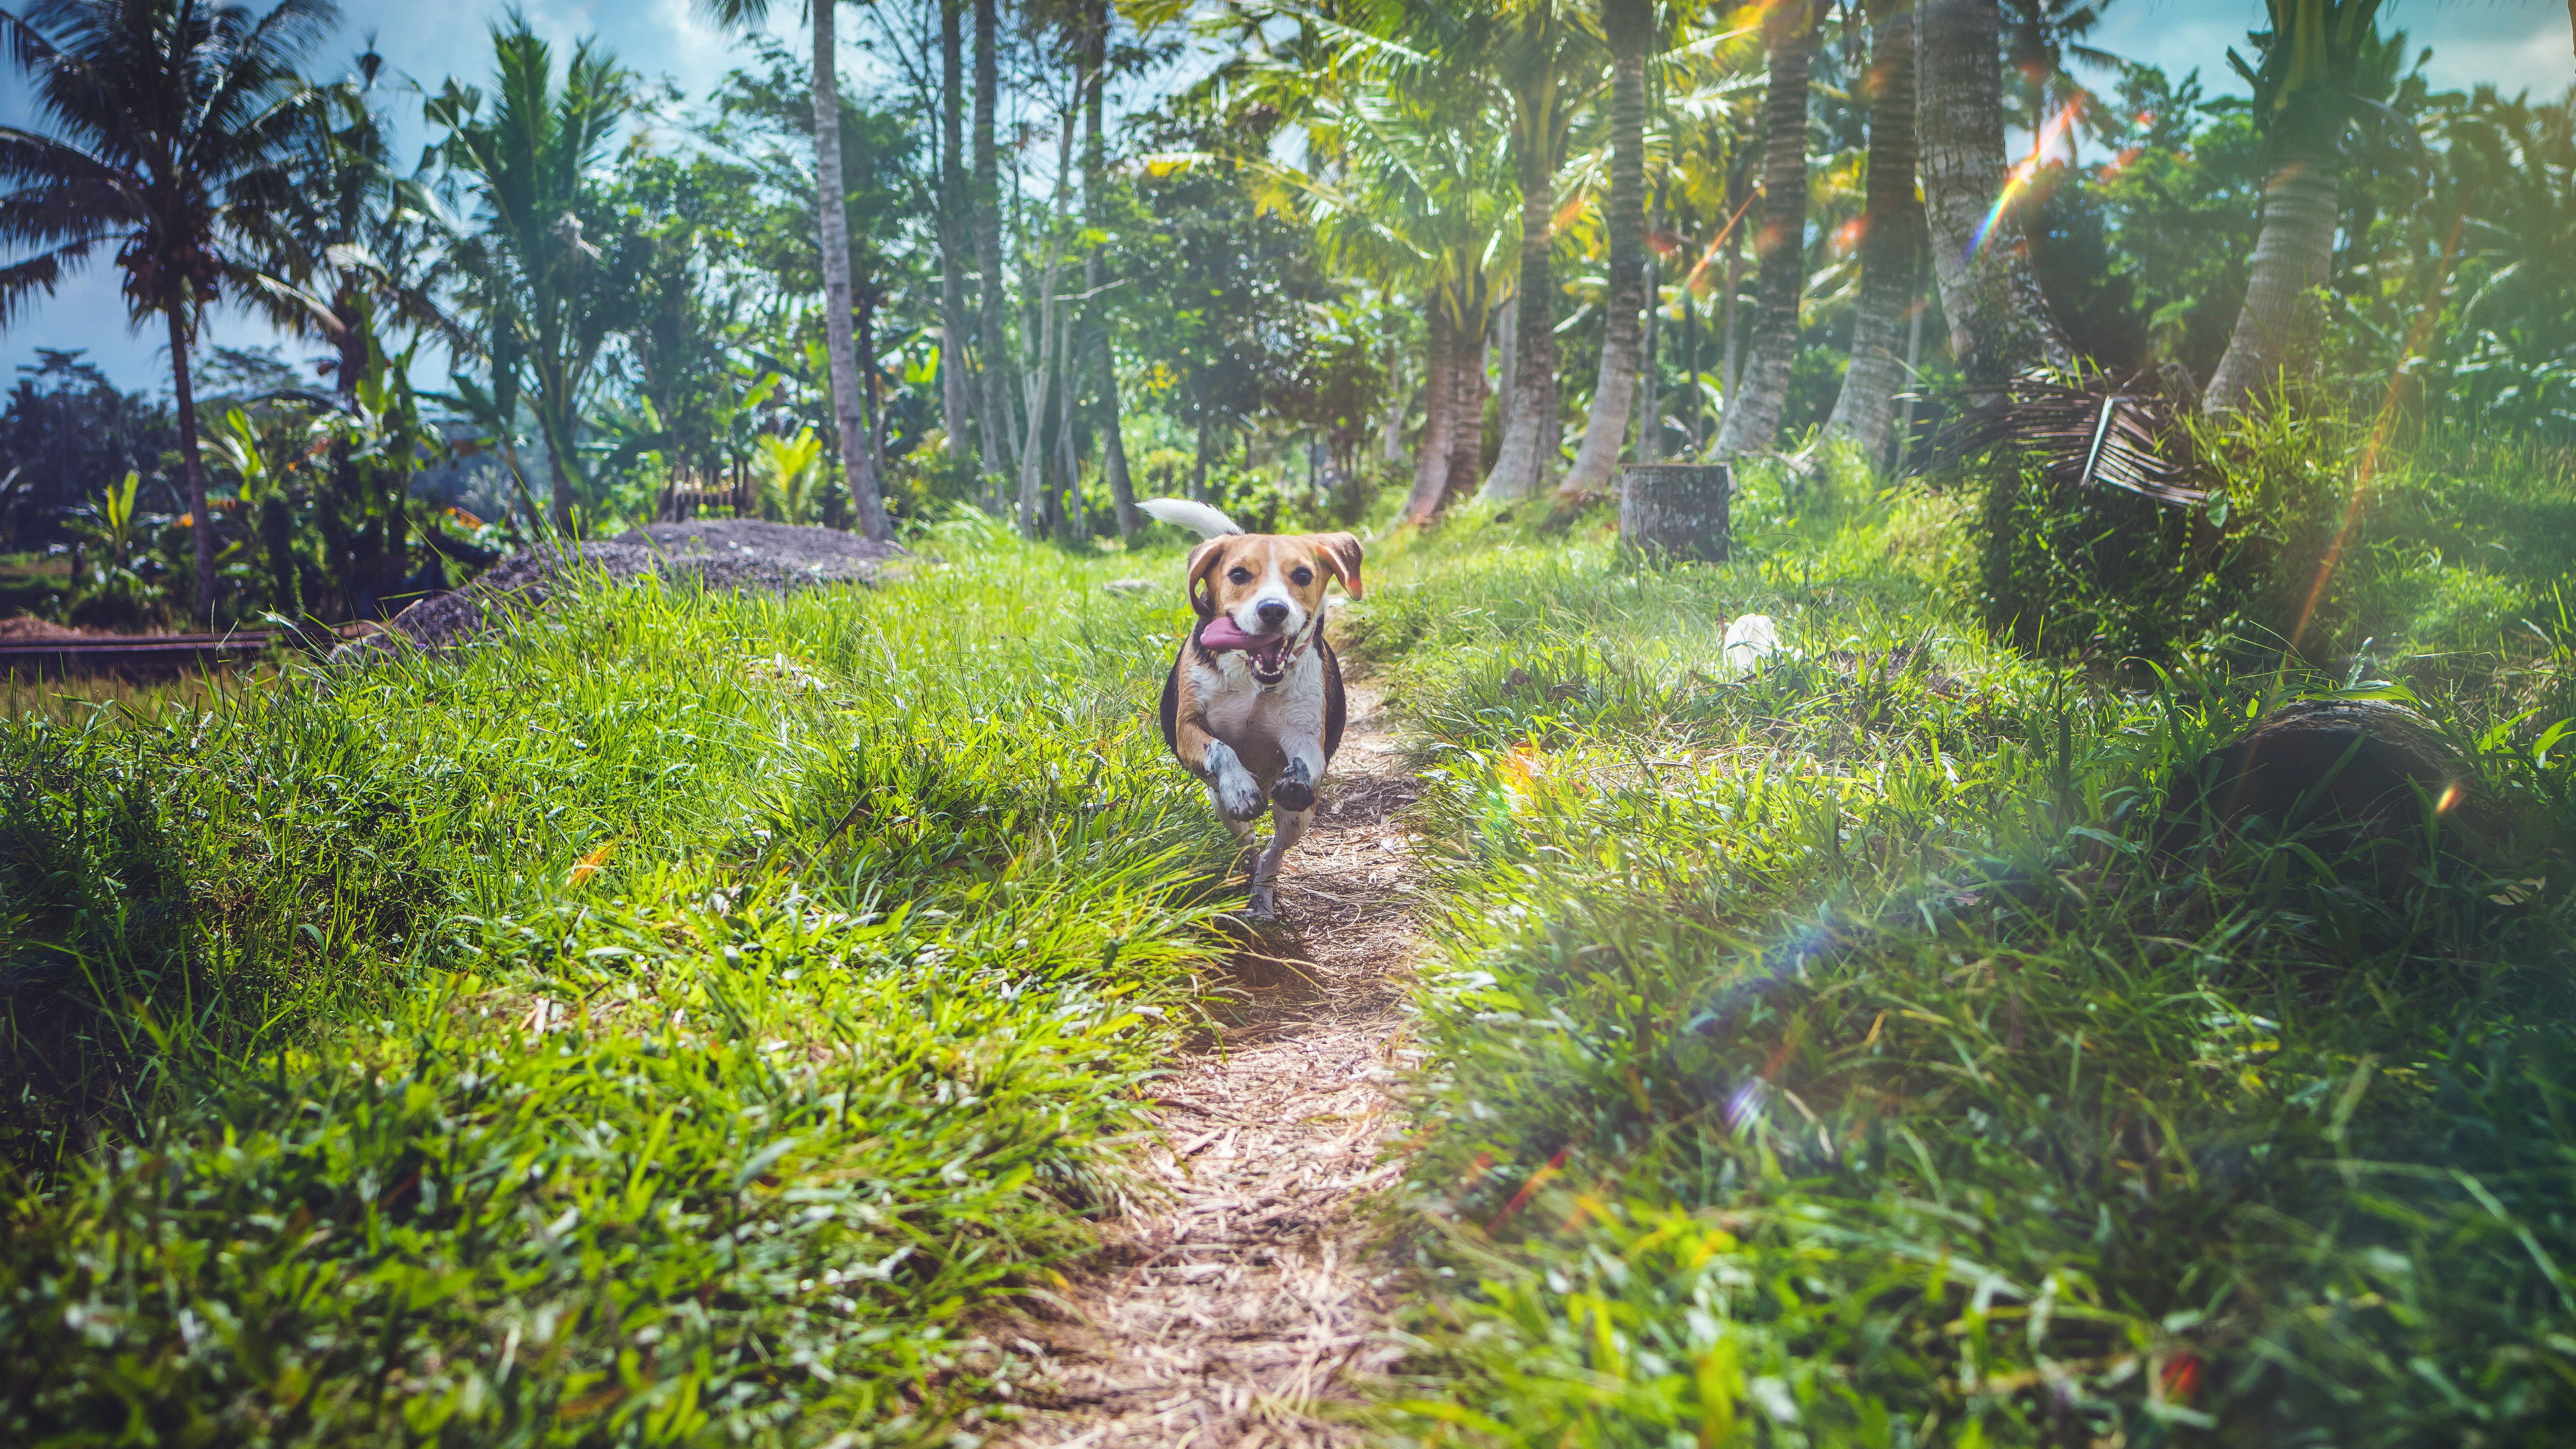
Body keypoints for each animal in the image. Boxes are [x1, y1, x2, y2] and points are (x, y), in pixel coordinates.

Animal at [1138, 494, 1360, 902]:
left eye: (1302, 575)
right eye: (1239, 575)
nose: (1273, 610)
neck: (1254, 679)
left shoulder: (1305, 735)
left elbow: (1305, 759)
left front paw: (1295, 778)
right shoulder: (1188, 729)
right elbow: (1222, 749)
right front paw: (1241, 787)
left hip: (1297, 818)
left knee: (1274, 852)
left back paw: (1262, 894)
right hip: (1222, 809)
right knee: (1247, 843)